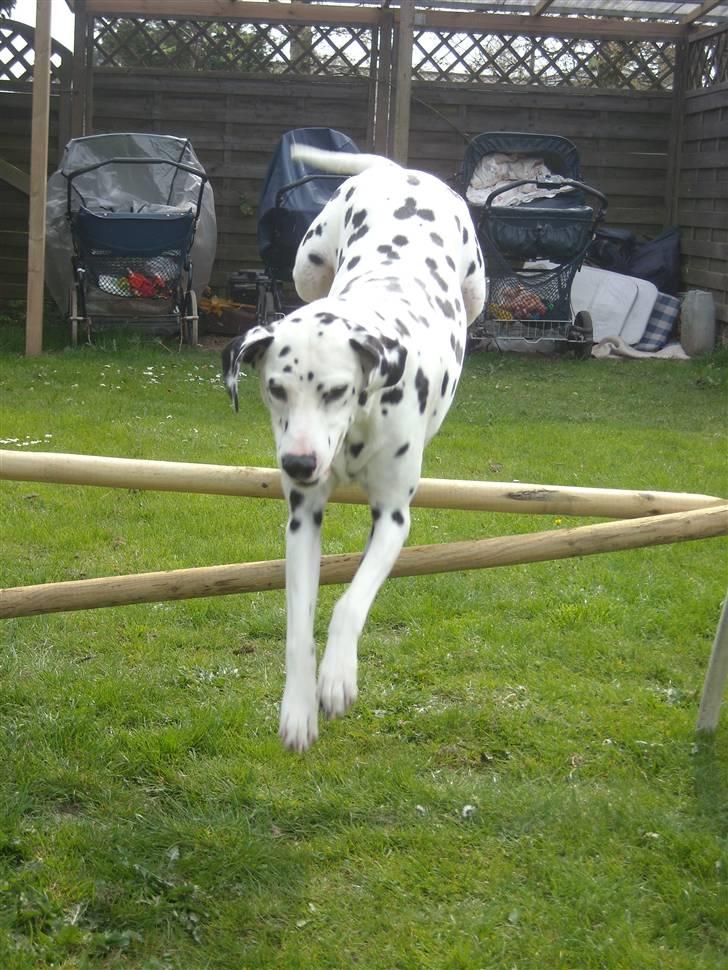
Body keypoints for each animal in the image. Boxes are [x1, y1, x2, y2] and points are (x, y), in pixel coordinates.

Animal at [222, 146, 484, 748]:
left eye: (336, 391)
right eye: (276, 389)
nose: (299, 462)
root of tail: (397, 170)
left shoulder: (393, 519)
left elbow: (349, 604)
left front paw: (337, 677)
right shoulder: (302, 521)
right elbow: (298, 627)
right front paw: (298, 707)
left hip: (476, 288)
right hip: (308, 263)